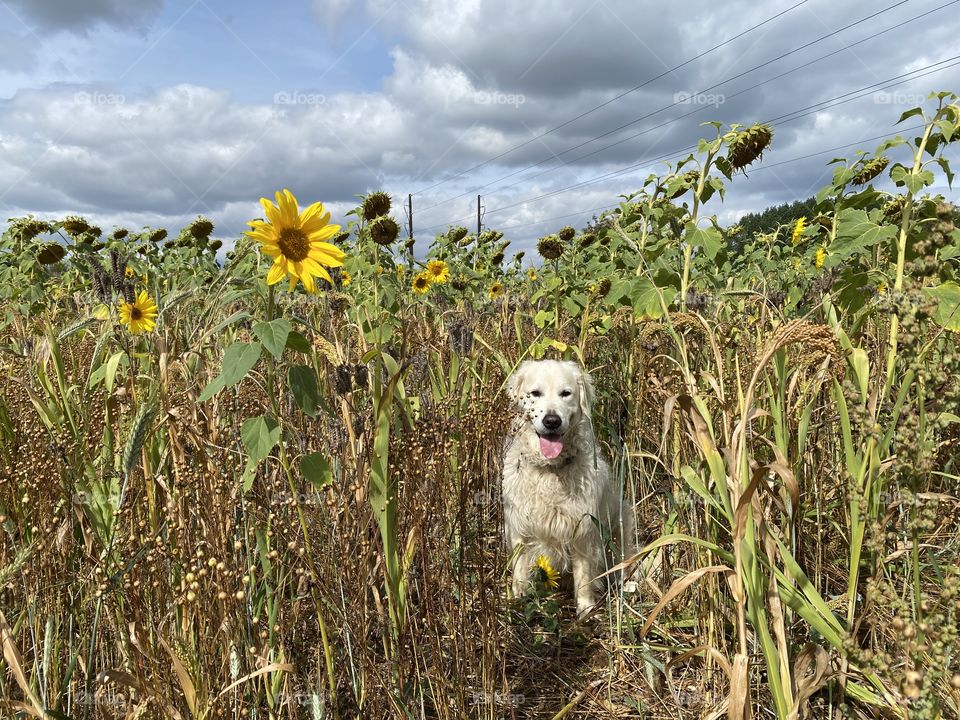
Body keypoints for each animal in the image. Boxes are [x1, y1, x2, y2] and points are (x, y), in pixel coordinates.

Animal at [498, 358, 632, 616]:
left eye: (565, 393)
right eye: (535, 393)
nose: (552, 421)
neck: (550, 469)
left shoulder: (583, 528)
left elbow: (584, 575)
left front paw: (586, 609)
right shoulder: (518, 525)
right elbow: (519, 571)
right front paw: (518, 600)